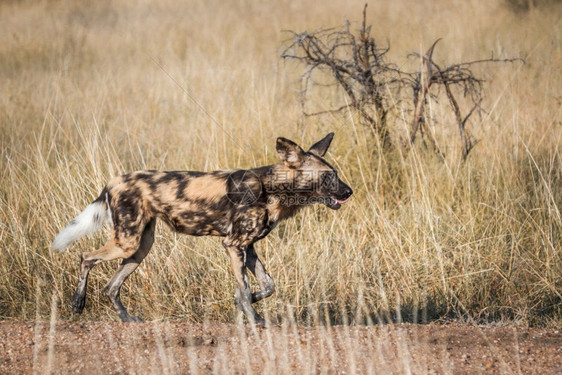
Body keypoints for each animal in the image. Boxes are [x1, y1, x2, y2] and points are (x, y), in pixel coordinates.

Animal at [52, 134, 350, 324]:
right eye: (328, 176)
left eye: (336, 174)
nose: (349, 191)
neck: (274, 188)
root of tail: (113, 181)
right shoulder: (233, 245)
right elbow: (244, 289)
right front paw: (255, 320)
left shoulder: (248, 247)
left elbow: (267, 285)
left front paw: (246, 304)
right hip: (127, 243)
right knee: (86, 257)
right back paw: (78, 303)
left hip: (140, 247)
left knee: (111, 286)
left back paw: (128, 319)